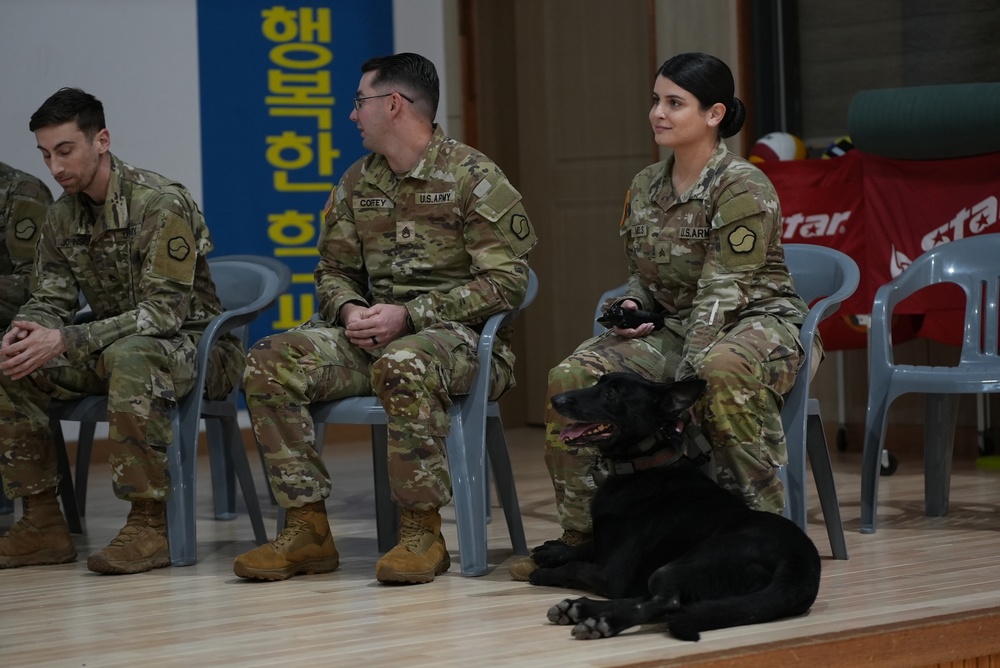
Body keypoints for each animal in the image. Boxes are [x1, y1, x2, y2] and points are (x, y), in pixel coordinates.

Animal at [532, 374, 820, 640]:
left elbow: (575, 568)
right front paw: (554, 552)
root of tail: (800, 564)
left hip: (682, 565)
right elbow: (585, 546)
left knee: (665, 603)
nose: (556, 400)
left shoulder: (610, 574)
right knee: (657, 600)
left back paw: (600, 620)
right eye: (598, 383)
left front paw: (545, 573)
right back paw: (580, 608)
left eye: (611, 394)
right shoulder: (606, 543)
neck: (644, 464)